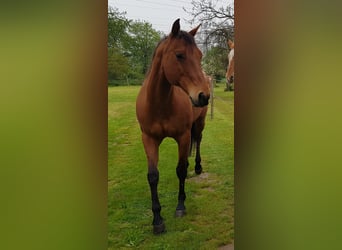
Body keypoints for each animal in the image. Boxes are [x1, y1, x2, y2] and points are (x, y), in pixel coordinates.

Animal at [136, 18, 210, 233]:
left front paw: (180, 206)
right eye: (179, 55)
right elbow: (153, 176)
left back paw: (198, 166)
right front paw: (157, 220)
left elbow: (181, 170)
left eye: (200, 55)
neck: (160, 104)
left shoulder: (183, 137)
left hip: (199, 123)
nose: (203, 95)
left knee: (198, 141)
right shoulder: (149, 139)